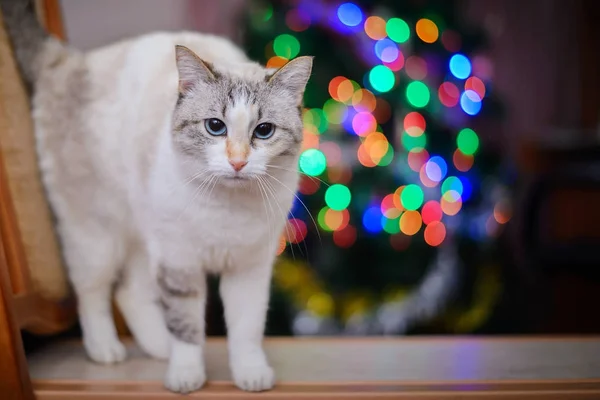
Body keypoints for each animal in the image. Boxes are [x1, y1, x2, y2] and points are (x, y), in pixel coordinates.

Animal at [0, 0, 310, 394]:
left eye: (264, 131)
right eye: (215, 127)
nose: (238, 162)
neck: (227, 207)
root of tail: (69, 59)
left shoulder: (249, 268)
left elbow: (247, 329)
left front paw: (250, 374)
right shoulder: (179, 264)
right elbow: (186, 327)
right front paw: (186, 376)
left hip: (143, 238)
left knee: (128, 292)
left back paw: (159, 347)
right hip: (98, 235)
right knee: (93, 291)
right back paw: (106, 349)